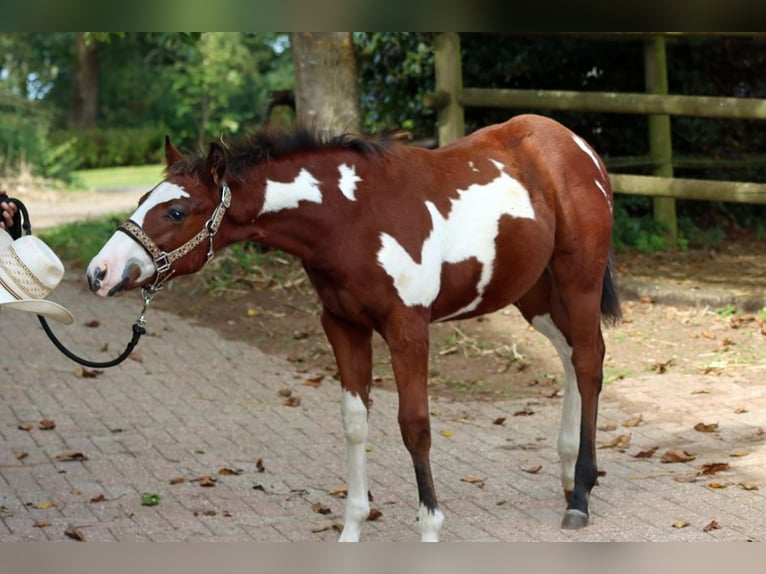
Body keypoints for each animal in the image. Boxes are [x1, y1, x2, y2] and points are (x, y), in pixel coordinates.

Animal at [87, 115, 620, 544]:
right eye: (142, 200)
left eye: (176, 211)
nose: (100, 272)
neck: (351, 217)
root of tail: (576, 145)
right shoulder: (342, 325)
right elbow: (354, 421)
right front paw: (352, 528)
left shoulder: (408, 327)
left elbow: (415, 426)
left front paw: (430, 529)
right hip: (534, 292)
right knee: (569, 354)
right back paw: (568, 476)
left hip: (578, 278)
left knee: (589, 360)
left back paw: (580, 496)